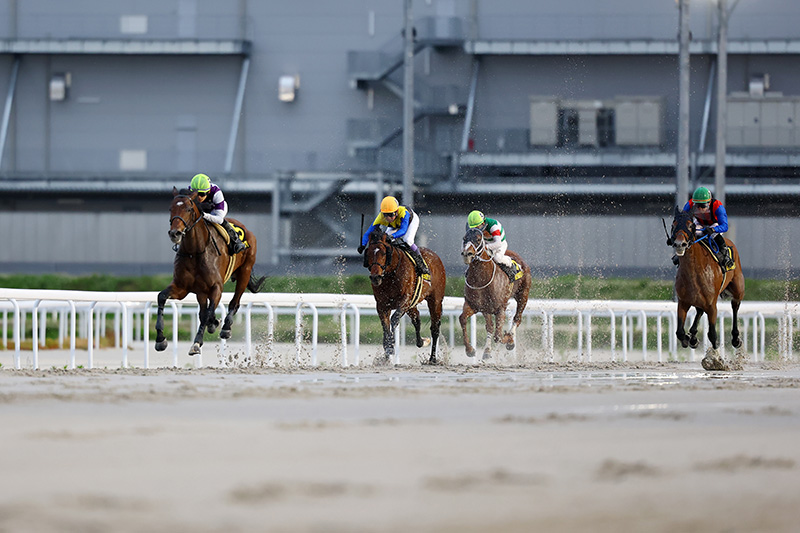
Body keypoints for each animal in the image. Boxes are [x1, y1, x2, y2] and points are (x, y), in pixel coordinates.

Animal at [155, 187, 265, 356]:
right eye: (170, 208)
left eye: (188, 209)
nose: (175, 233)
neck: (195, 251)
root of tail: (248, 230)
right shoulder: (181, 288)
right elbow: (161, 297)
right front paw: (160, 339)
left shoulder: (216, 287)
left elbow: (208, 313)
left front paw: (196, 343)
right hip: (201, 290)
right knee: (203, 309)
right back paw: (214, 322)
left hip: (245, 272)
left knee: (234, 302)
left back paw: (226, 327)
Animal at [363, 228, 446, 365]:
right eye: (369, 252)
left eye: (384, 253)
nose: (375, 277)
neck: (391, 274)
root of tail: (435, 256)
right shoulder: (382, 305)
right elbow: (385, 326)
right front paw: (387, 353)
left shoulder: (404, 301)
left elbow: (394, 320)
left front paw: (391, 345)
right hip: (413, 304)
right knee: (417, 319)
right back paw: (422, 342)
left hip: (435, 300)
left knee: (435, 328)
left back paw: (432, 358)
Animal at [460, 228, 532, 359]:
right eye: (464, 238)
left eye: (478, 239)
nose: (467, 254)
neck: (481, 279)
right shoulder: (476, 305)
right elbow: (463, 318)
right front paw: (470, 350)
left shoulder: (500, 308)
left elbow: (498, 336)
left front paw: (508, 338)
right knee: (491, 326)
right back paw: (487, 350)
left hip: (523, 295)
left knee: (517, 318)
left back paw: (510, 339)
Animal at [669, 206, 745, 370]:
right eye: (673, 224)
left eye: (691, 225)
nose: (679, 244)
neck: (694, 271)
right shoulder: (683, 302)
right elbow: (679, 331)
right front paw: (689, 339)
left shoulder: (712, 304)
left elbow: (712, 334)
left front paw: (715, 359)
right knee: (699, 311)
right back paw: (692, 336)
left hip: (738, 288)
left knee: (735, 306)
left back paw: (736, 339)